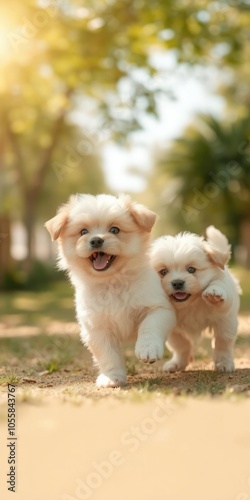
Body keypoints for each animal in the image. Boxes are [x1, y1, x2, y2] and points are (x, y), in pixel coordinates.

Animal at [45, 193, 176, 388]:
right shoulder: (96, 327)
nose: (96, 240)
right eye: (83, 232)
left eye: (114, 230)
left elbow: (149, 326)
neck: (112, 282)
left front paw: (148, 348)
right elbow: (107, 355)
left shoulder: (159, 308)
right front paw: (112, 377)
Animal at [150, 227, 240, 372]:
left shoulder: (224, 311)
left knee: (223, 343)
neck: (190, 303)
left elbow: (219, 287)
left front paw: (214, 293)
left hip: (227, 324)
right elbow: (181, 345)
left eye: (191, 269)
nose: (177, 283)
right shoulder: (174, 329)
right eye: (163, 272)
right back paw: (177, 363)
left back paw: (224, 363)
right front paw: (178, 363)